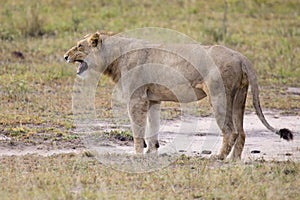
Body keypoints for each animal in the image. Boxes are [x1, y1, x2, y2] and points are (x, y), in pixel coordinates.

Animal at [63, 30, 292, 159]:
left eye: (80, 46)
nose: (65, 56)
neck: (114, 56)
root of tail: (241, 56)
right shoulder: (153, 99)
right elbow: (152, 128)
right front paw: (151, 152)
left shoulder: (137, 98)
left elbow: (138, 129)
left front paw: (136, 154)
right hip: (239, 97)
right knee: (242, 132)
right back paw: (234, 160)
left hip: (219, 96)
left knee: (231, 131)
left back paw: (218, 157)